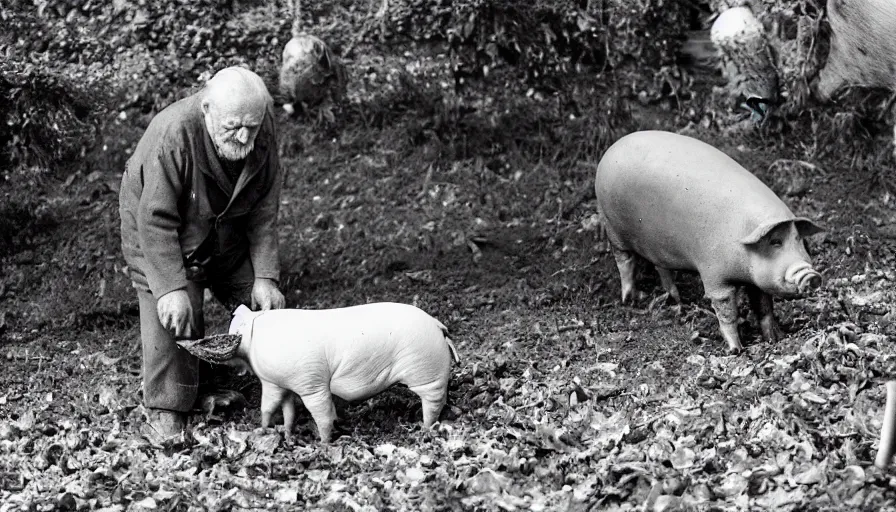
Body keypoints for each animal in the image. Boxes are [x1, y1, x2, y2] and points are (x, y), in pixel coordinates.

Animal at [176, 302, 458, 442]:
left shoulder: (309, 382)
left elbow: (315, 410)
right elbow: (284, 408)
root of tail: (437, 324)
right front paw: (283, 432)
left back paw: (424, 428)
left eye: (233, 327)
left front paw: (321, 443)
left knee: (433, 400)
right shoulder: (283, 383)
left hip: (426, 373)